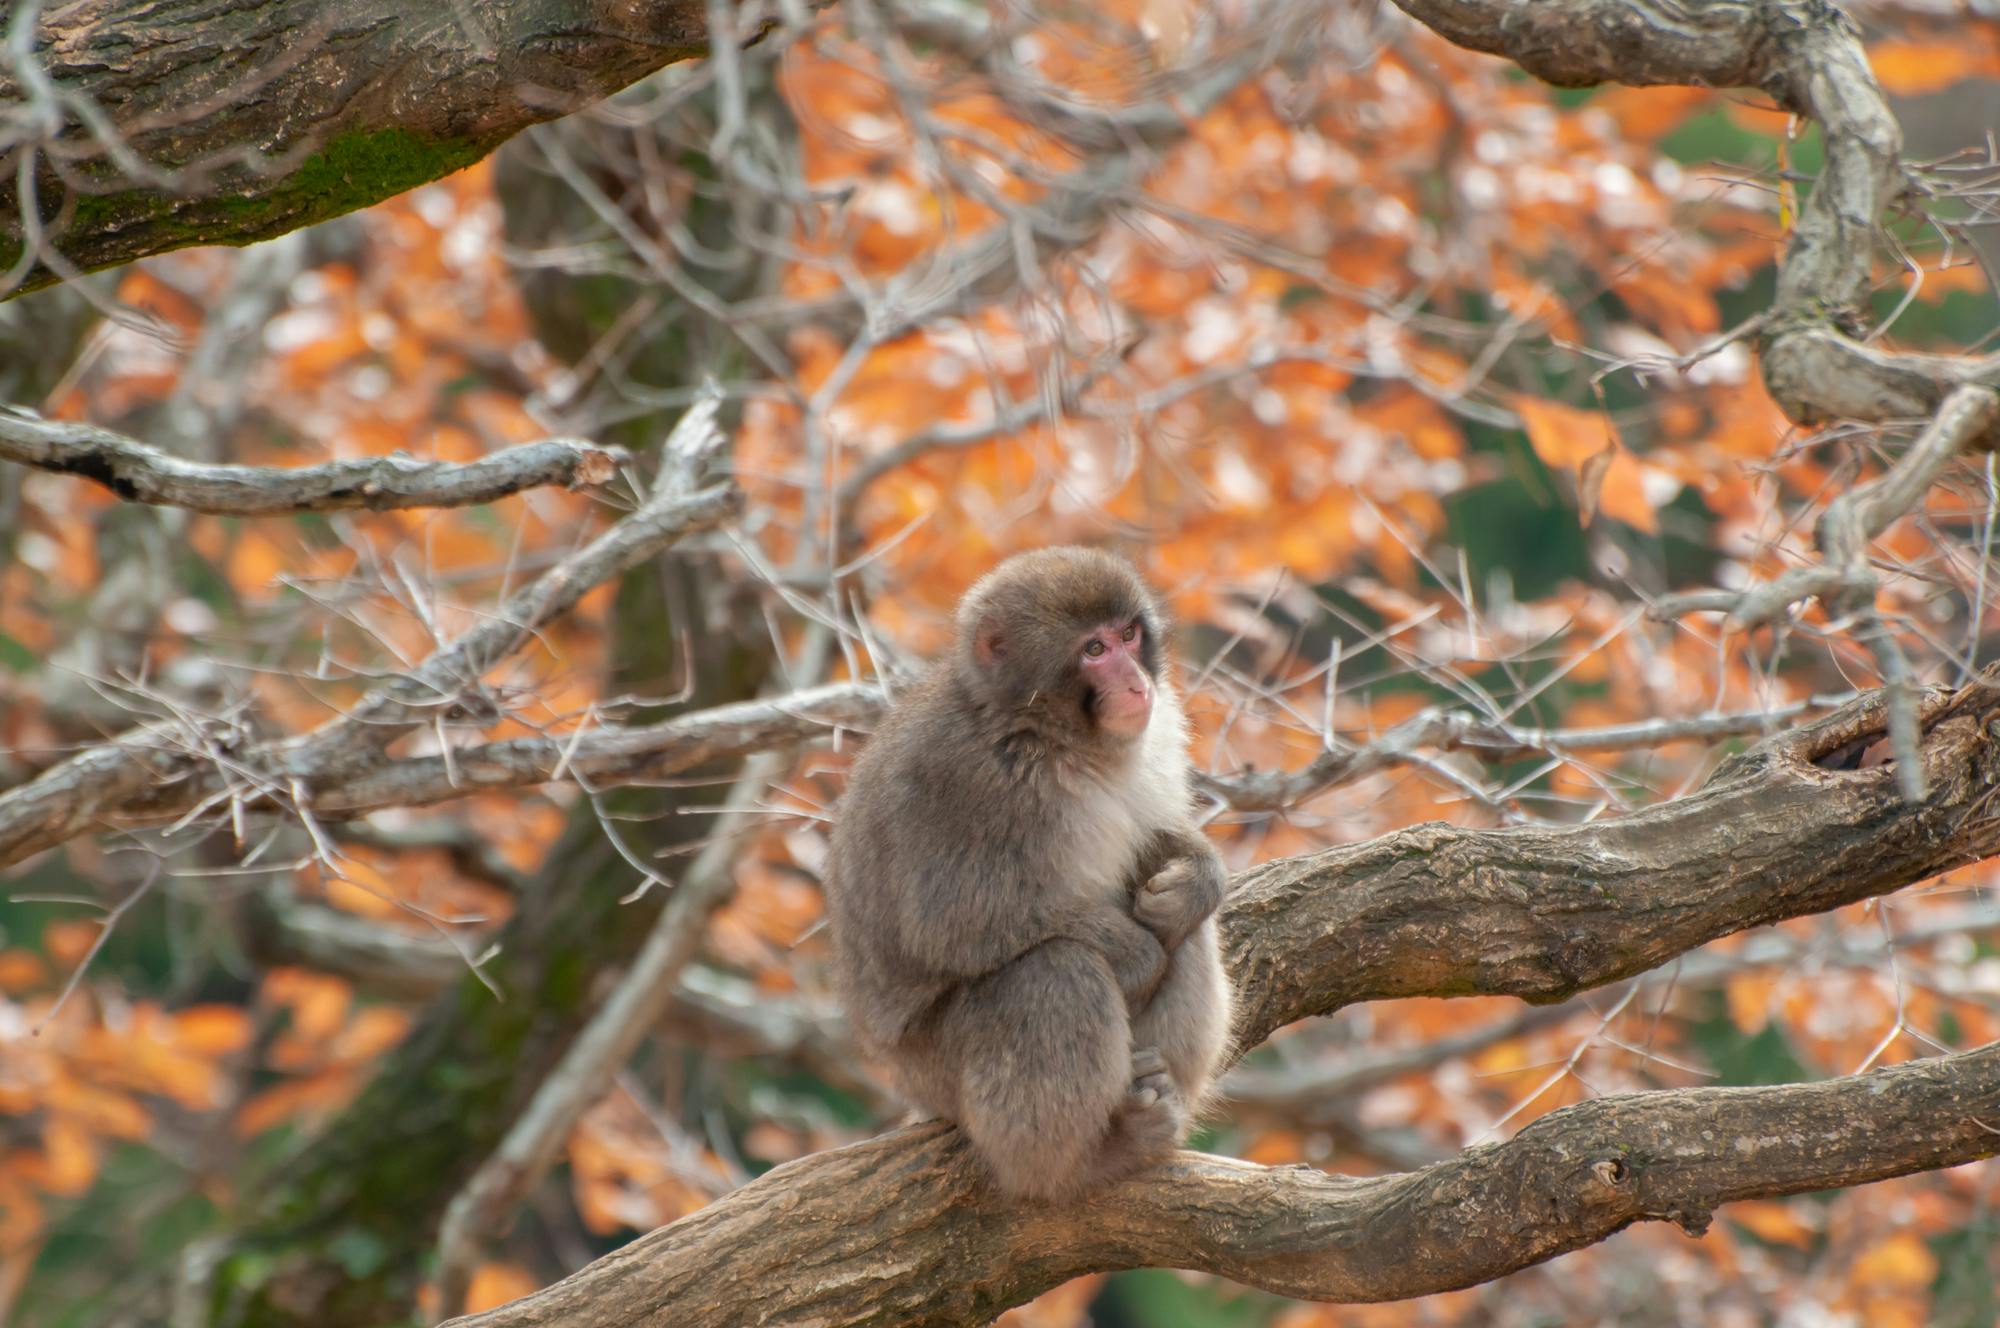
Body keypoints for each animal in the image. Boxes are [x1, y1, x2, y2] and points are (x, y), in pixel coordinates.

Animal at [823, 546, 1231, 1202]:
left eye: (1128, 634)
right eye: (1094, 650)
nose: (1137, 683)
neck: (1055, 737)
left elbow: (1159, 844)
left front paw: (1198, 881)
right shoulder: (971, 779)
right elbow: (952, 925)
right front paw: (1137, 954)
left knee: (1186, 936)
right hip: (934, 1071)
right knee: (1051, 971)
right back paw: (1081, 1162)